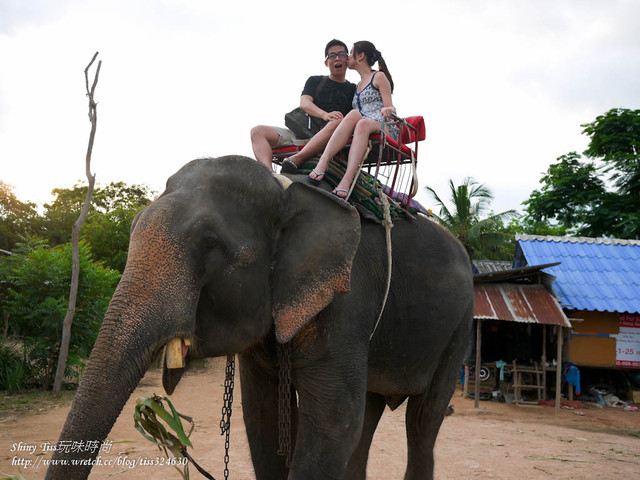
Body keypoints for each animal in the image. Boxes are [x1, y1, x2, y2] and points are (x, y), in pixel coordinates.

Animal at [45, 156, 472, 478]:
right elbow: (263, 422)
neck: (285, 191)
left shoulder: (347, 300)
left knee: (422, 422)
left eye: (210, 244)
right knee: (368, 415)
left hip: (460, 327)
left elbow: (332, 425)